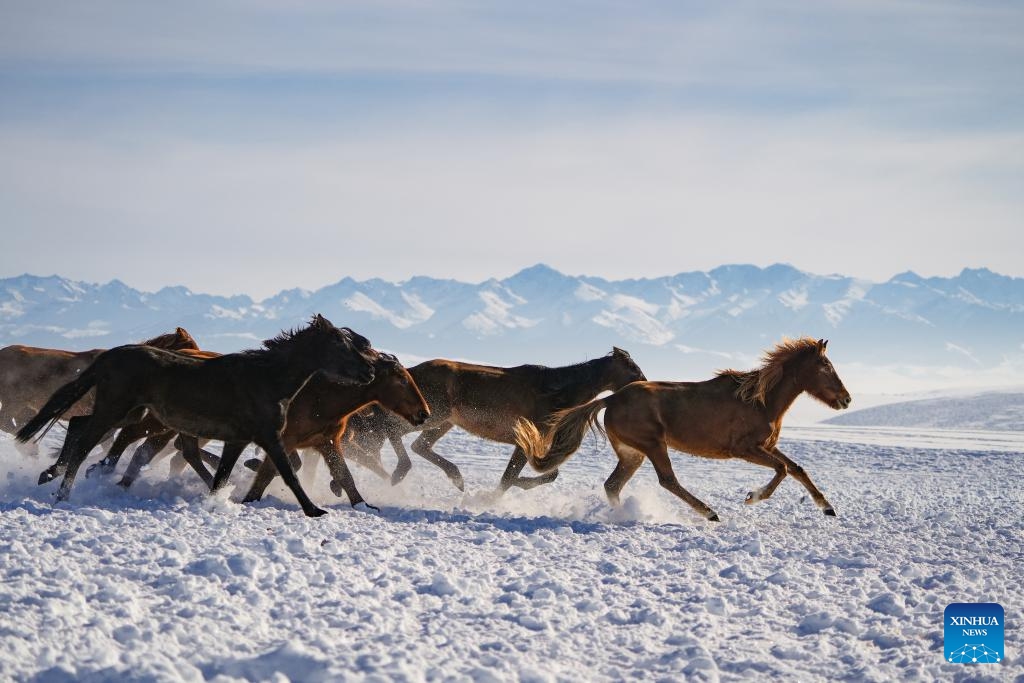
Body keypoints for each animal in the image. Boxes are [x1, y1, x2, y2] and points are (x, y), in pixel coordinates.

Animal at [344, 348, 646, 492]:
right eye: (632, 368)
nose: (645, 383)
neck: (558, 389)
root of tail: (411, 371)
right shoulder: (525, 440)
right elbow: (509, 476)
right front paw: (492, 497)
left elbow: (549, 475)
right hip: (431, 415)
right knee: (390, 428)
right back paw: (399, 472)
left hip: (444, 421)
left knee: (419, 445)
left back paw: (456, 478)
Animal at [515, 338, 852, 520]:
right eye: (826, 367)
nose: (846, 399)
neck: (760, 400)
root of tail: (612, 398)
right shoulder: (745, 449)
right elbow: (782, 469)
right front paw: (752, 497)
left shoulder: (766, 446)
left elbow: (796, 468)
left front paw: (828, 508)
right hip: (652, 446)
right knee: (667, 480)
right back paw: (710, 513)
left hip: (632, 453)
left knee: (613, 485)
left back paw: (624, 515)